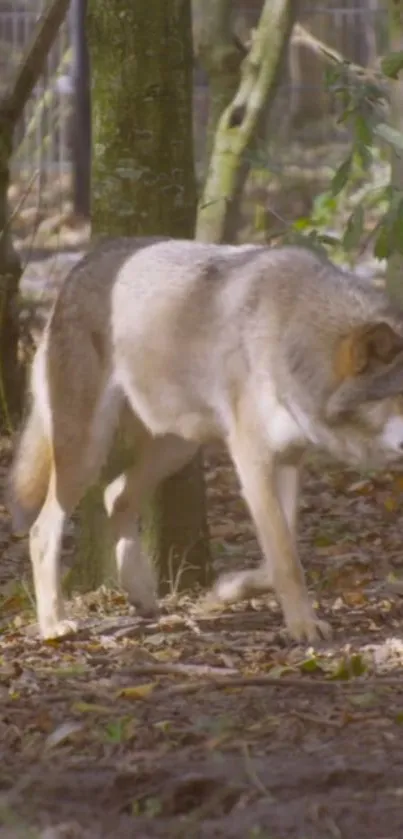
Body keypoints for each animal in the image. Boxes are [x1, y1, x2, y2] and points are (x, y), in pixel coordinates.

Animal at [6, 236, 403, 644]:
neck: (296, 336)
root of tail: (77, 269)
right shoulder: (253, 458)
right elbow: (285, 556)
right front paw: (303, 625)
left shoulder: (290, 457)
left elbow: (283, 548)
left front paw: (227, 591)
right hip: (87, 450)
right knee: (43, 528)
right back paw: (54, 624)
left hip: (176, 448)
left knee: (115, 495)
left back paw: (141, 594)